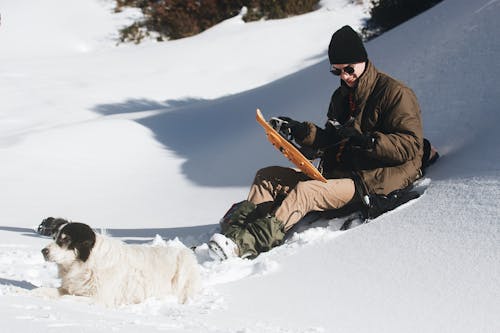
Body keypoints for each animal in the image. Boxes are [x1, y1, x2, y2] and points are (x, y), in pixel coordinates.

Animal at [36, 219, 199, 308]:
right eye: (54, 237)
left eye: (65, 239)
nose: (43, 251)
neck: (88, 262)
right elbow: (47, 290)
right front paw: (31, 294)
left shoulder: (99, 298)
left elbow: (65, 298)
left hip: (183, 266)